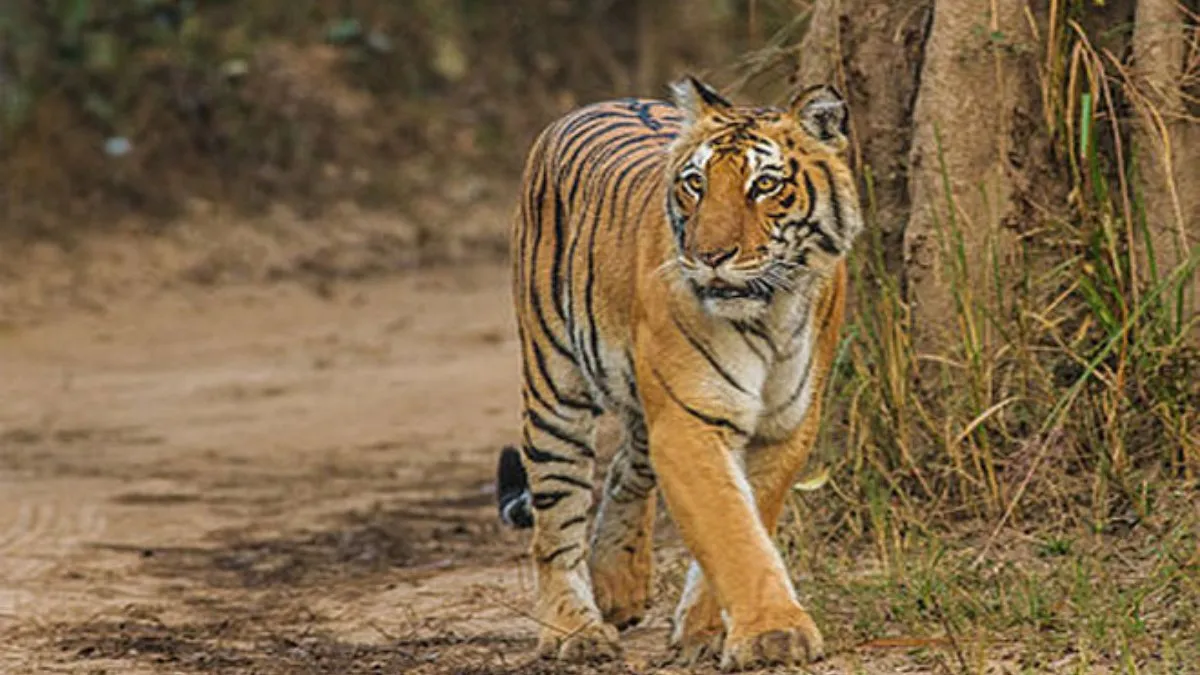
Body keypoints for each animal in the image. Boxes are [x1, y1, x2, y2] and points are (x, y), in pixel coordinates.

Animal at [494, 75, 862, 671]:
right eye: (696, 184)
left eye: (764, 185)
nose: (710, 256)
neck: (771, 314)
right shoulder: (690, 422)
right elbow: (731, 529)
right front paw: (773, 634)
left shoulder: (785, 426)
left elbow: (750, 518)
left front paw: (707, 630)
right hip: (554, 385)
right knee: (556, 519)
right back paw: (575, 630)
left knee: (626, 467)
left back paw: (617, 584)